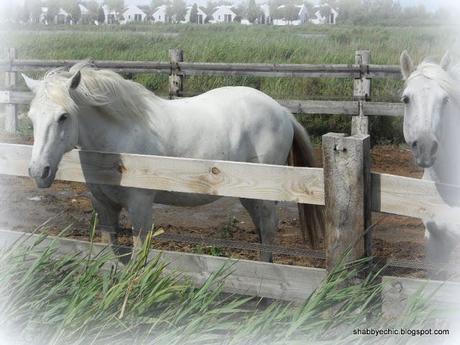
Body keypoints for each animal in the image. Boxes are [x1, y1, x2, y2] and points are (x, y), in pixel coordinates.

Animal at [21, 62, 324, 260]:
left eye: (64, 116)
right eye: (31, 117)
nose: (38, 171)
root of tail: (282, 111)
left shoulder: (140, 205)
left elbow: (139, 255)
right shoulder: (104, 207)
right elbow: (112, 254)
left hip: (263, 196)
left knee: (269, 233)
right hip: (248, 196)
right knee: (263, 231)